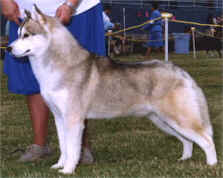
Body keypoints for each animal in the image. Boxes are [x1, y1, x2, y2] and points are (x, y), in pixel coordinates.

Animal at [7, 5, 217, 174]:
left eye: (26, 35)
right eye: (17, 34)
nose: (8, 49)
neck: (58, 65)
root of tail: (180, 71)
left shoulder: (74, 119)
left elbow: (73, 149)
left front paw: (67, 170)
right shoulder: (59, 117)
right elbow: (63, 146)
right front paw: (59, 165)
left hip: (178, 118)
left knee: (206, 139)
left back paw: (212, 165)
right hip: (163, 120)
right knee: (188, 140)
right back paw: (184, 158)